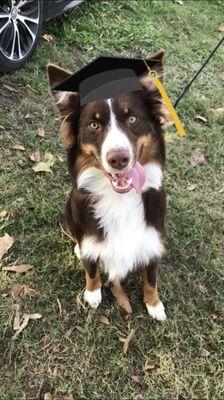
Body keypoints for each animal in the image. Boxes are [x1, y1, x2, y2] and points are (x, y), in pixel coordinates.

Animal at [47, 50, 168, 320]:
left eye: (132, 118)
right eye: (94, 124)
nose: (118, 159)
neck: (119, 198)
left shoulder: (151, 240)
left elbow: (152, 278)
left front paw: (154, 305)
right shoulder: (90, 235)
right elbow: (91, 268)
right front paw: (93, 294)